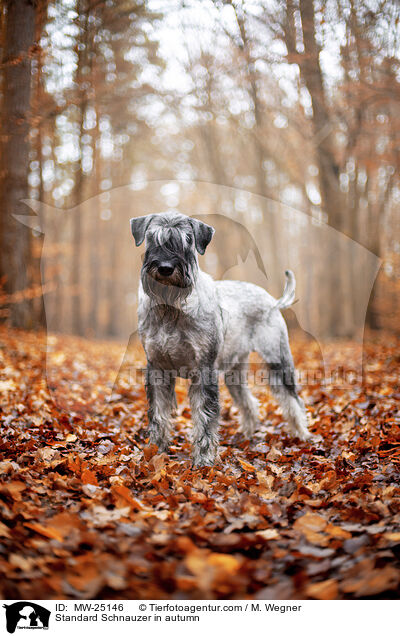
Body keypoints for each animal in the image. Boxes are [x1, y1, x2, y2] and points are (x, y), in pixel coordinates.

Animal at [131, 211, 312, 464]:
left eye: (188, 240)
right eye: (151, 238)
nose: (166, 268)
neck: (171, 307)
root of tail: (272, 301)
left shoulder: (204, 369)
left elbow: (205, 417)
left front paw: (204, 460)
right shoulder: (157, 368)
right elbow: (158, 414)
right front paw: (155, 451)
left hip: (278, 360)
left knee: (294, 401)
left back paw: (301, 435)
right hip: (234, 372)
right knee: (249, 403)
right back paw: (247, 434)